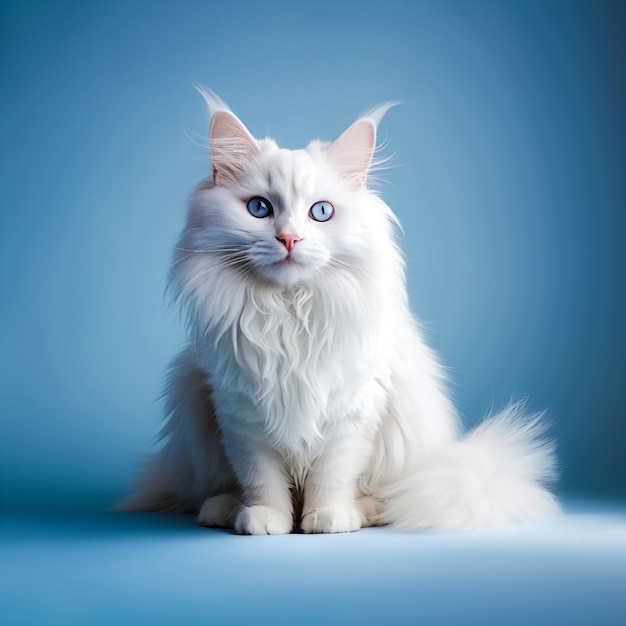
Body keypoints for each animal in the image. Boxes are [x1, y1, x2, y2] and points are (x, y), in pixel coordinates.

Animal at [119, 89, 560, 532]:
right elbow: (261, 476)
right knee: (217, 487)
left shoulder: (352, 409)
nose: (289, 239)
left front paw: (327, 516)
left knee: (386, 491)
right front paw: (267, 518)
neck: (288, 312)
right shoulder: (242, 412)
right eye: (259, 209)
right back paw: (225, 509)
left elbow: (333, 473)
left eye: (321, 212)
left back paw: (365, 511)